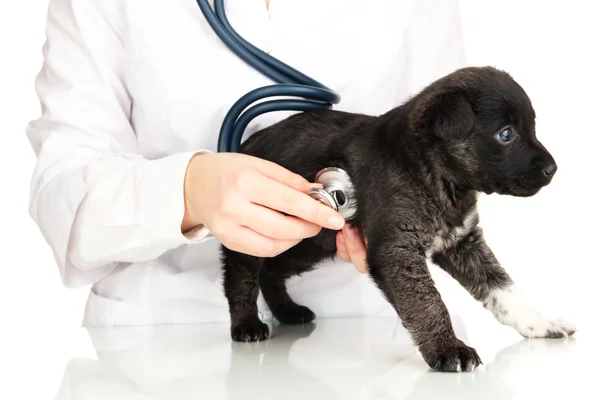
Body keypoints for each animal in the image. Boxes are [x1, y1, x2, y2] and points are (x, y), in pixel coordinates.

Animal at [220, 66, 576, 372]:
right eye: (506, 134)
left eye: (531, 128)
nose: (553, 169)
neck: (432, 174)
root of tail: (243, 145)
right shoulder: (397, 251)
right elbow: (427, 304)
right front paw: (448, 349)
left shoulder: (464, 243)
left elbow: (504, 290)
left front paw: (539, 323)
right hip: (262, 228)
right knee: (242, 273)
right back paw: (247, 324)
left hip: (304, 242)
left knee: (271, 271)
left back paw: (287, 310)